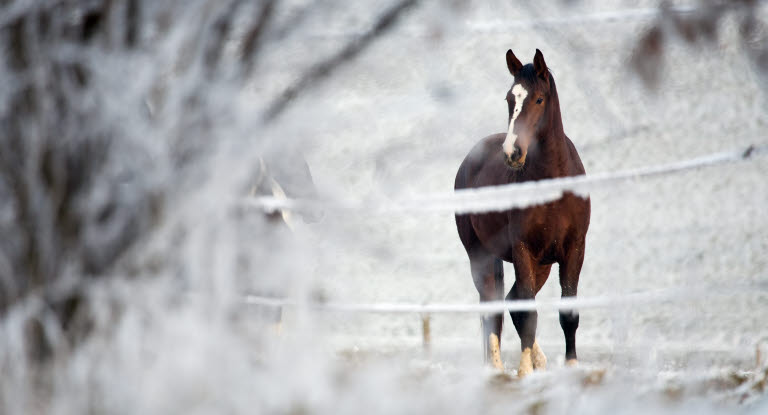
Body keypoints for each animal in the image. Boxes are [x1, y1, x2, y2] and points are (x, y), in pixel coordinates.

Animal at [452, 49, 592, 380]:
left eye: (539, 99)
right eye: (508, 99)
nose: (512, 153)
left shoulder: (574, 249)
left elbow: (568, 311)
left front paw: (570, 365)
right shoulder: (522, 250)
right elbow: (528, 311)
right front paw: (524, 371)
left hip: (541, 264)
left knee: (511, 301)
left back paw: (538, 360)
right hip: (481, 256)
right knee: (493, 305)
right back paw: (497, 367)